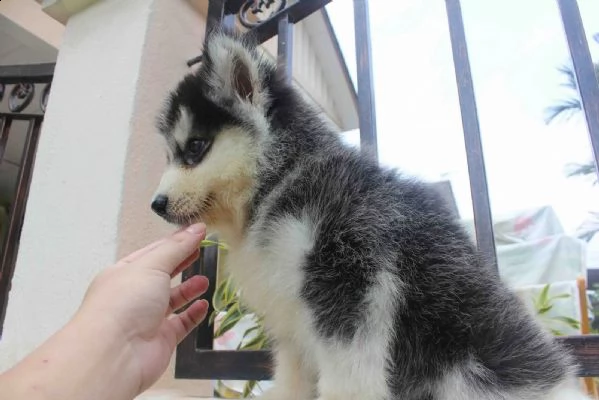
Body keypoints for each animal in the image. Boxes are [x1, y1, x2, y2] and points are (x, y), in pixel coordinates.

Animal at [151, 31, 592, 400]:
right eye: (172, 153)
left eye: (195, 148)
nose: (156, 204)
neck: (284, 177)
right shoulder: (293, 322)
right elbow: (294, 374)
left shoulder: (349, 278)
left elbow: (348, 370)